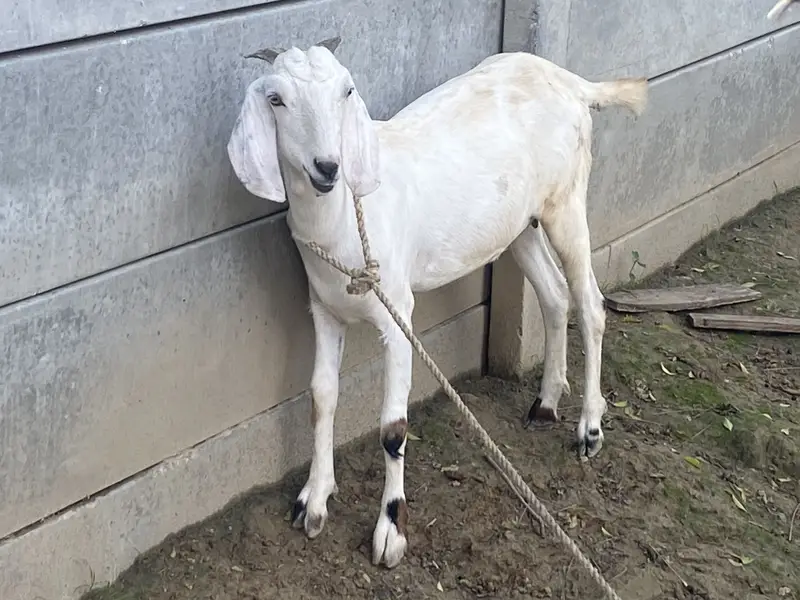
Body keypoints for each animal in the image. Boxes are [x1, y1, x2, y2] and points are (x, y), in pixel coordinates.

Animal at [227, 37, 647, 568]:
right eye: (276, 99)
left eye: (347, 90)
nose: (327, 167)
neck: (347, 217)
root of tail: (571, 81)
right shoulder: (323, 308)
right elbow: (321, 399)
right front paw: (313, 501)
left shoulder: (397, 313)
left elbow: (393, 426)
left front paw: (391, 530)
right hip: (519, 224)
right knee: (553, 295)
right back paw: (546, 404)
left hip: (566, 201)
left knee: (589, 303)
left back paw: (590, 428)